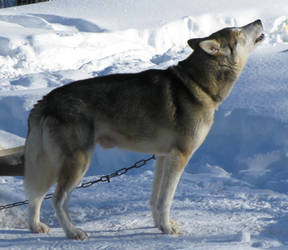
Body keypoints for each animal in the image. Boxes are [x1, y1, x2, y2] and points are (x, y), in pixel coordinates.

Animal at [2, 19, 264, 238]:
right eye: (239, 31)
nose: (259, 20)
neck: (198, 84)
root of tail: (44, 100)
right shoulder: (180, 157)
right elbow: (166, 200)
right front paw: (167, 229)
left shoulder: (162, 157)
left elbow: (156, 199)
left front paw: (160, 225)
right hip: (77, 163)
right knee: (56, 199)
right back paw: (73, 232)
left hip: (49, 163)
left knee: (35, 196)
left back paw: (35, 226)